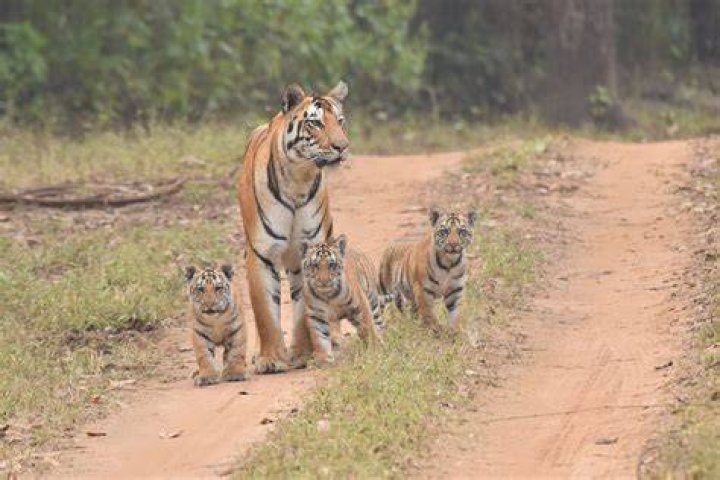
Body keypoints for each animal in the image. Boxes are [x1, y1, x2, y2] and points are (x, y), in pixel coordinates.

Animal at [237, 81, 349, 374]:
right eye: (316, 124)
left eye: (341, 121)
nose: (342, 146)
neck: (298, 179)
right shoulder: (261, 253)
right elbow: (265, 312)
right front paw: (270, 359)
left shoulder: (307, 252)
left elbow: (303, 312)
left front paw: (302, 354)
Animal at [301, 234, 391, 365]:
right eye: (315, 265)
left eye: (331, 265)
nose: (324, 281)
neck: (328, 295)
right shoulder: (316, 314)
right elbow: (319, 336)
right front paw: (323, 359)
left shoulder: (360, 306)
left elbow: (368, 327)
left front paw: (375, 348)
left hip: (373, 302)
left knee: (378, 323)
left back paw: (383, 337)